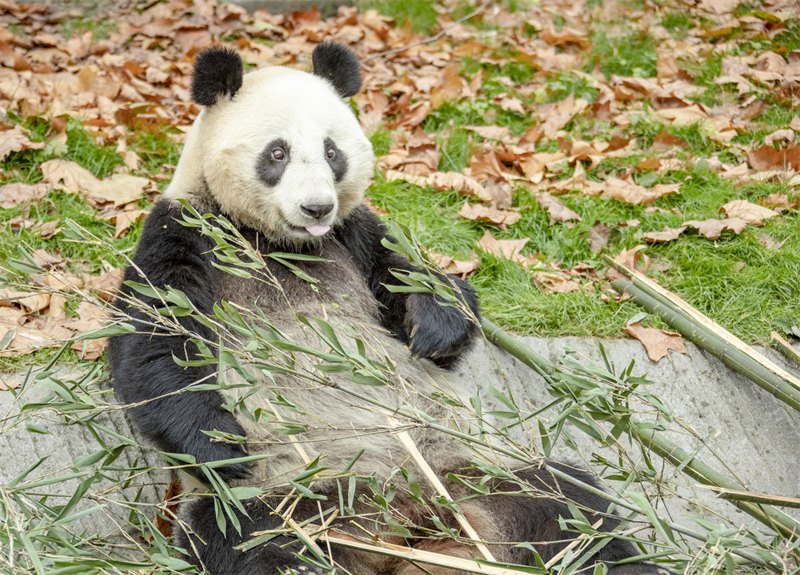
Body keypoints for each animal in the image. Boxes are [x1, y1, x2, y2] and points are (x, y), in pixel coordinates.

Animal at [108, 41, 668, 575]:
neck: (279, 241)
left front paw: (433, 329)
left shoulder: (352, 232)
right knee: (257, 545)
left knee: (571, 511)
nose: (316, 207)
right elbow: (152, 349)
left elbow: (414, 279)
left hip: (476, 473)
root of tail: (404, 528)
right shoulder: (186, 231)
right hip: (294, 497)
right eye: (277, 153)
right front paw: (222, 449)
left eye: (332, 151)